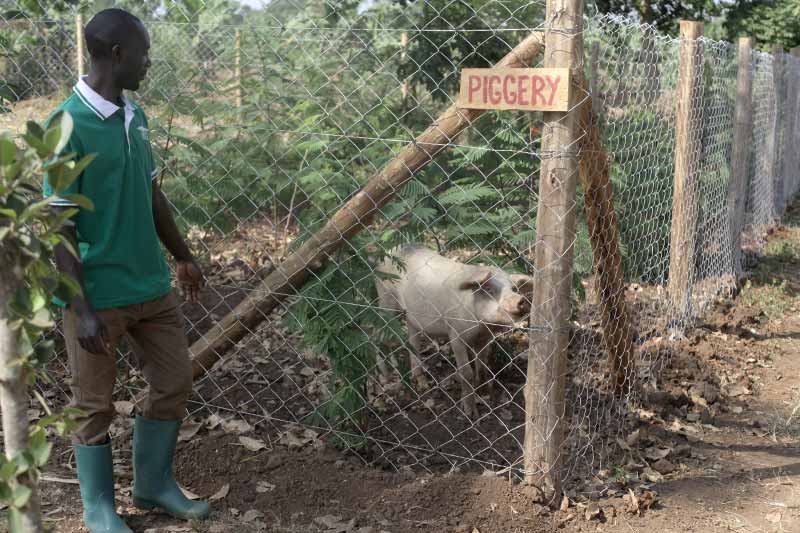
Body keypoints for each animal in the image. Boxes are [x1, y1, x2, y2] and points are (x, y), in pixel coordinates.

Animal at [374, 243, 532, 418]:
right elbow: (466, 372)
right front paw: (470, 413)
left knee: (412, 341)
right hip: (386, 298)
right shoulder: (456, 335)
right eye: (489, 289)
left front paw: (484, 392)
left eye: (514, 289)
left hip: (410, 316)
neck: (482, 326)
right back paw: (386, 379)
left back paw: (422, 385)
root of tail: (389, 251)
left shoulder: (484, 339)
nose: (521, 300)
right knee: (378, 334)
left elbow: (482, 365)